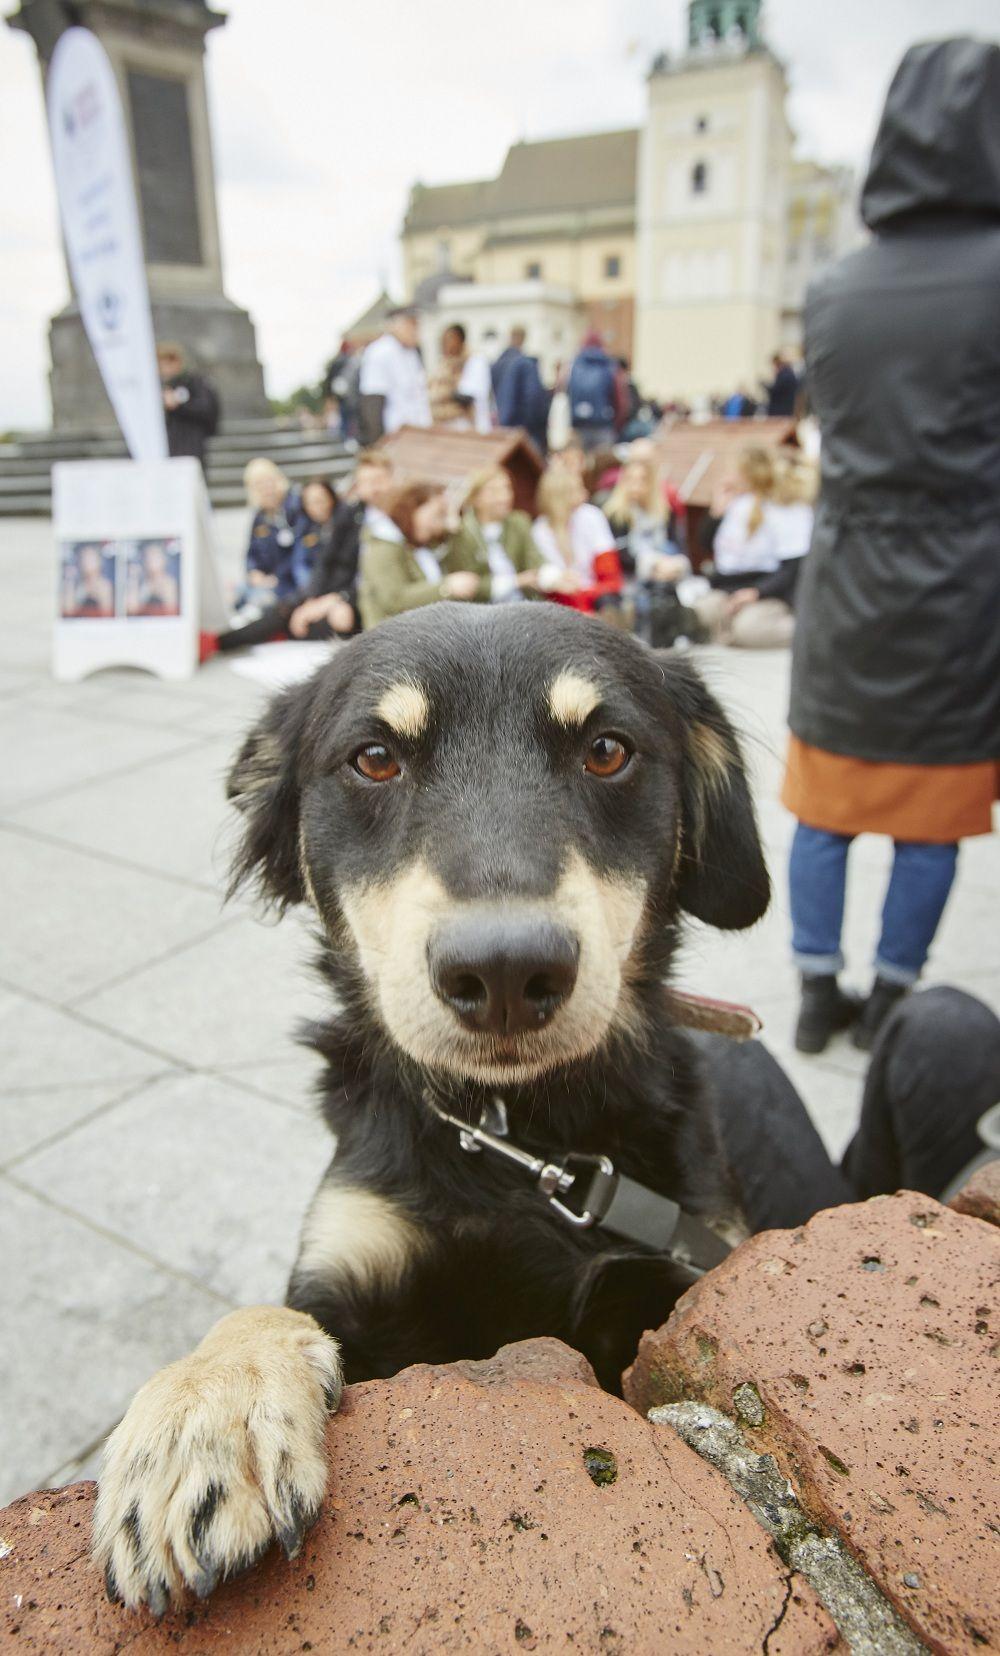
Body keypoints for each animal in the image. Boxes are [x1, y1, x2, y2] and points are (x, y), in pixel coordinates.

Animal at [93, 602, 768, 1609]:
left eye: (608, 750)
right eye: (375, 758)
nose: (505, 974)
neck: (512, 1139)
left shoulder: (681, 1260)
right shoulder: (351, 1259)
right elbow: (262, 1315)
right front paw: (203, 1416)